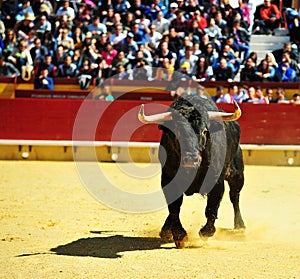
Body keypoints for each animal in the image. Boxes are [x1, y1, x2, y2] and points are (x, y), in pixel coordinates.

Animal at [139, 95, 246, 248]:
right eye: (177, 131)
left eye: (204, 131)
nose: (191, 159)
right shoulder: (168, 179)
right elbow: (174, 207)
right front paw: (180, 236)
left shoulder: (216, 182)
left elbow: (212, 208)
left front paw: (205, 233)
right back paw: (165, 230)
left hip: (237, 174)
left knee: (234, 196)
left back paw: (240, 226)